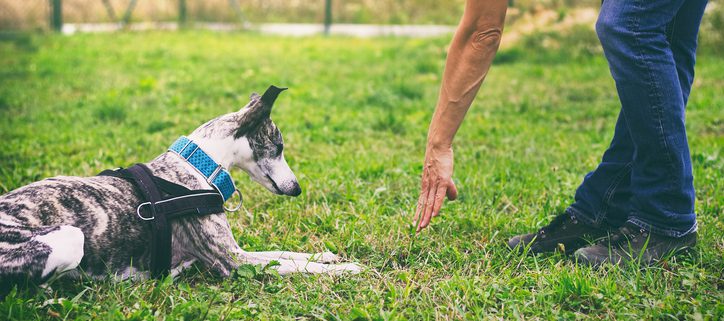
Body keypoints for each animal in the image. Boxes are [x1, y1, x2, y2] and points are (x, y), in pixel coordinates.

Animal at [0, 85, 362, 290]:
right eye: (279, 146)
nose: (297, 189)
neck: (196, 165)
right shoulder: (233, 262)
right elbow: (296, 266)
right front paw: (346, 269)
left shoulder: (238, 251)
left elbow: (284, 253)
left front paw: (327, 256)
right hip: (69, 238)